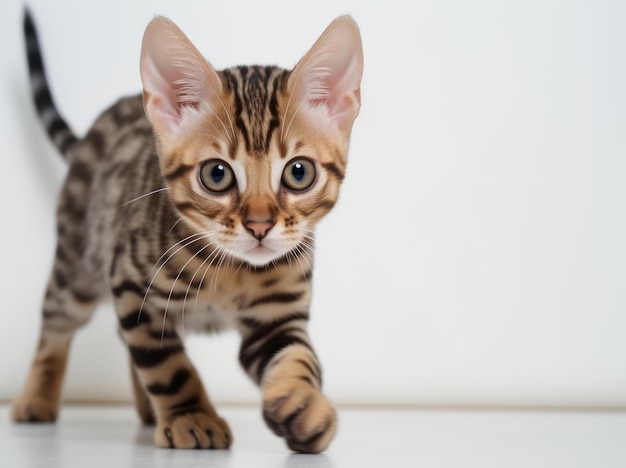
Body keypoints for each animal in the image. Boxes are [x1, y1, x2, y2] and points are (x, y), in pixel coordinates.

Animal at [13, 9, 360, 452]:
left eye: (299, 173)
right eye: (217, 174)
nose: (260, 225)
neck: (232, 270)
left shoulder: (276, 316)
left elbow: (297, 357)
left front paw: (304, 403)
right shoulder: (131, 286)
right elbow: (166, 365)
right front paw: (192, 416)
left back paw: (146, 409)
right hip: (76, 264)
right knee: (56, 325)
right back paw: (37, 398)